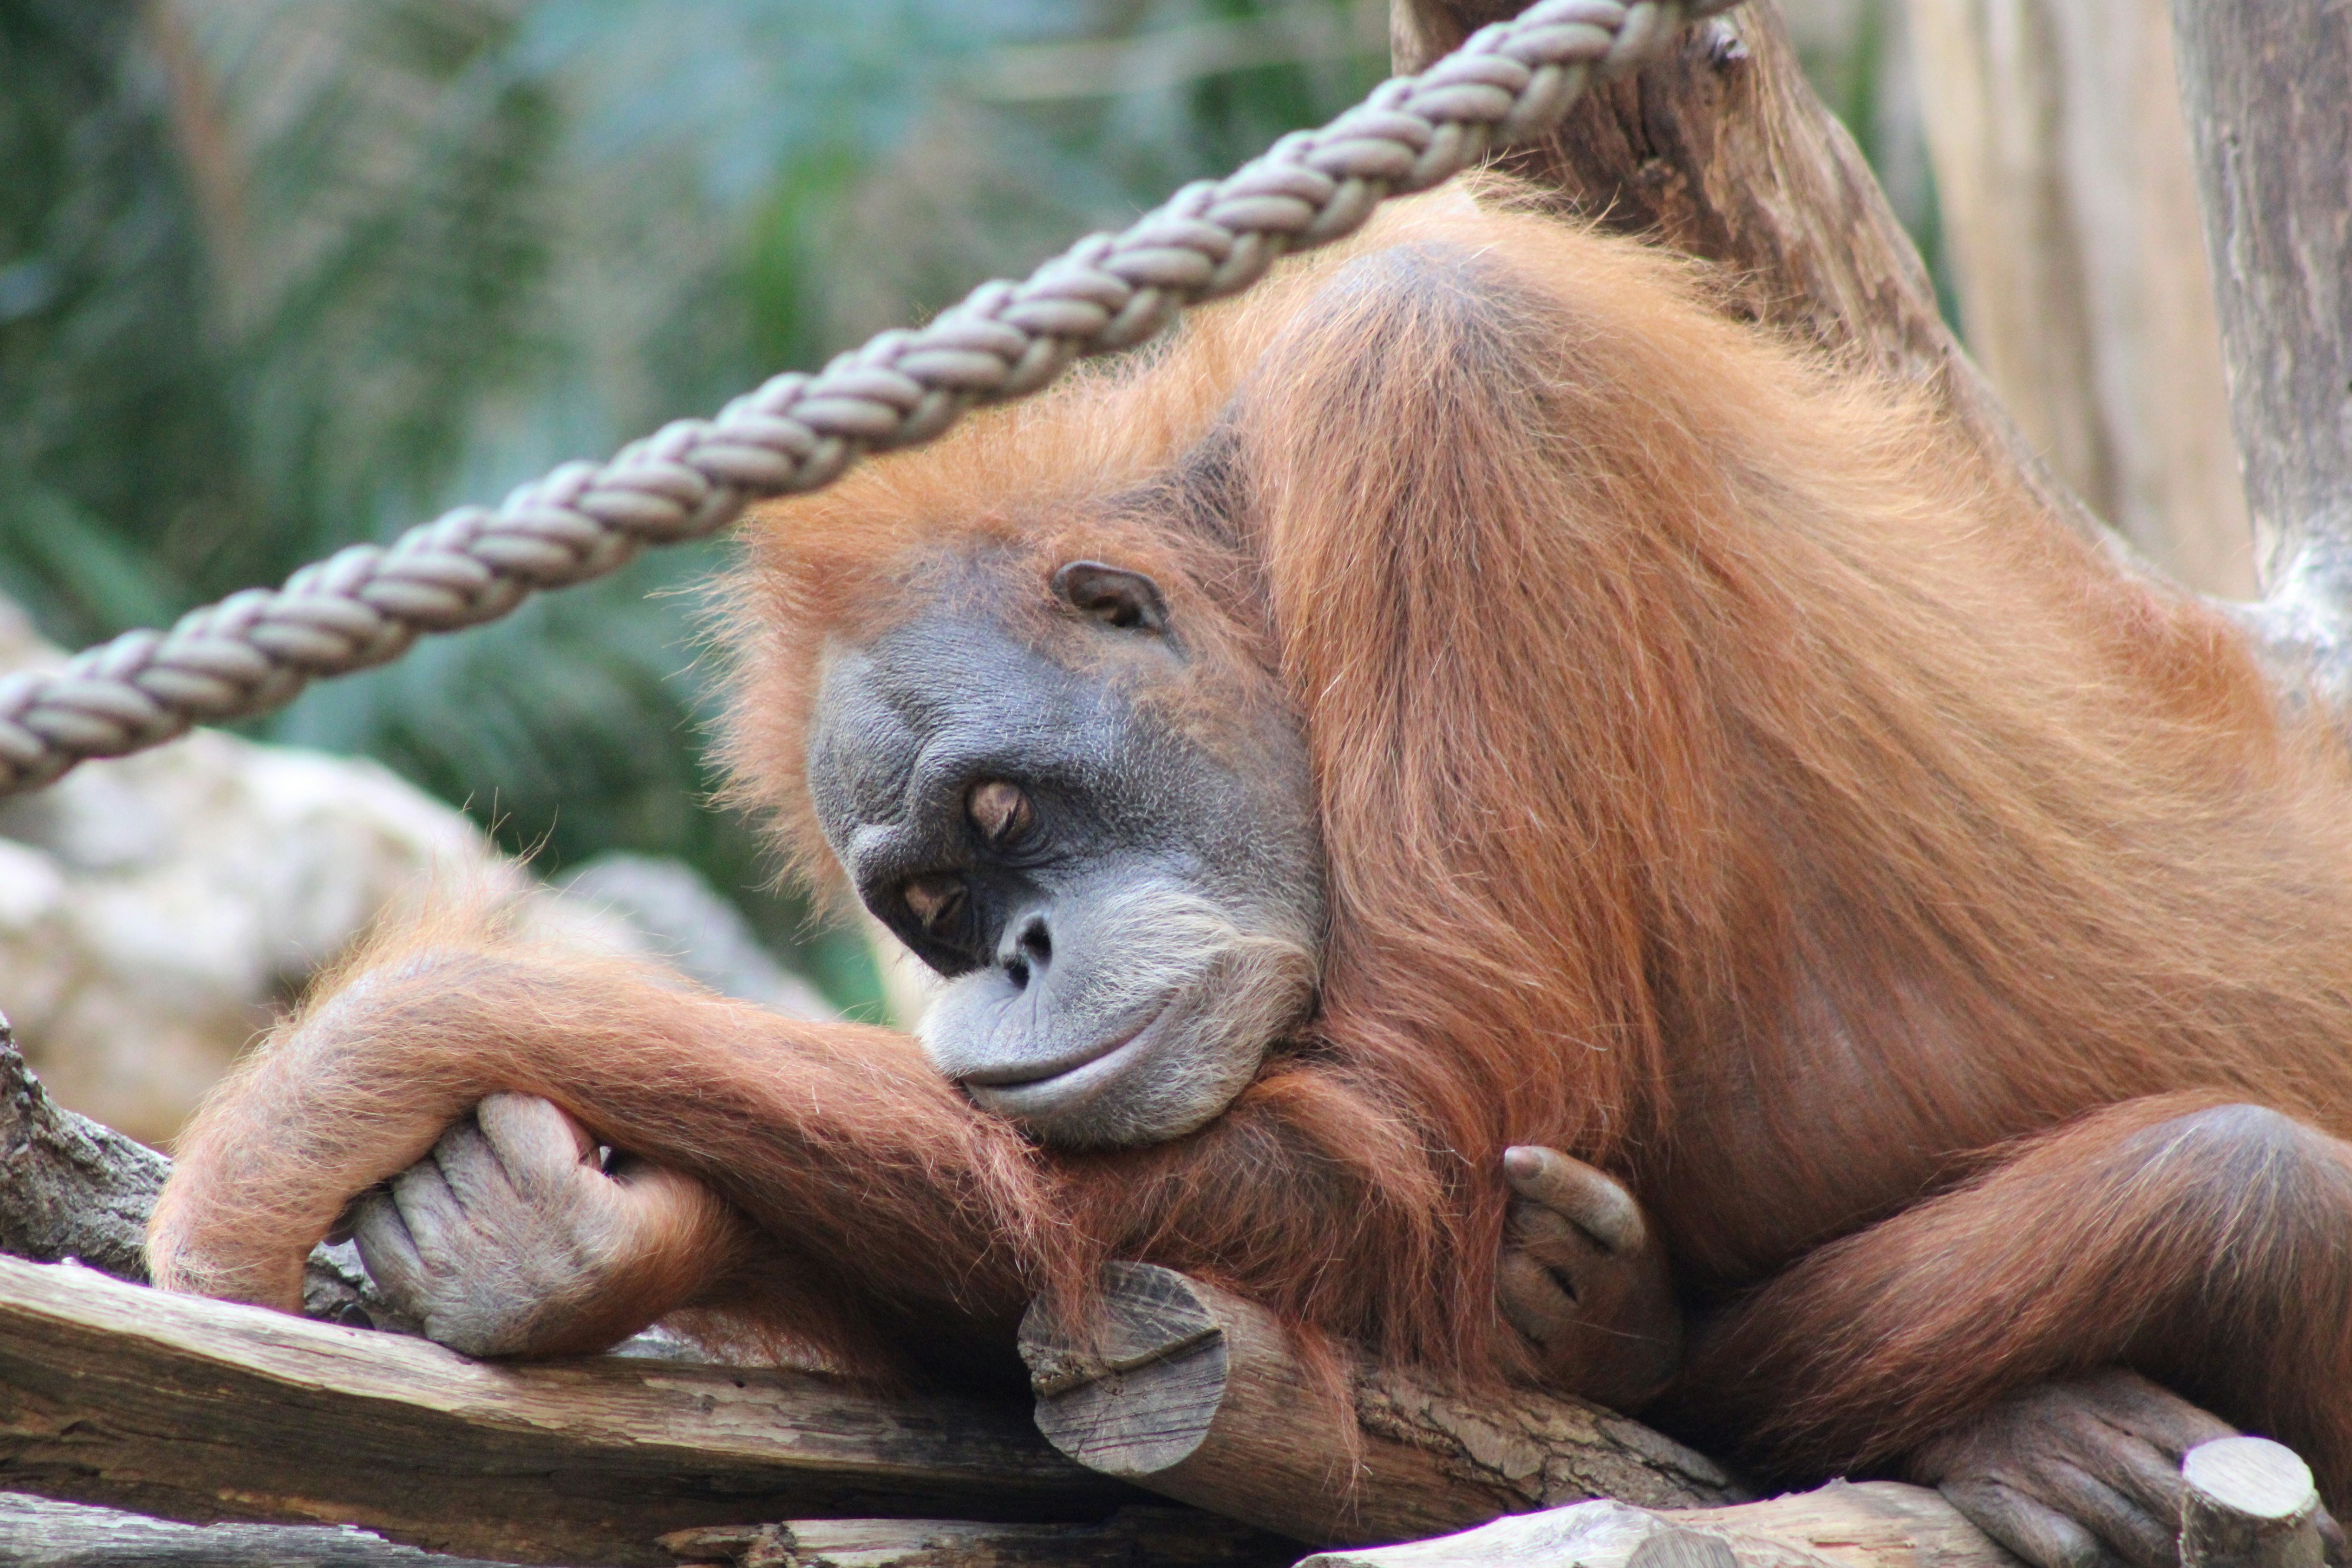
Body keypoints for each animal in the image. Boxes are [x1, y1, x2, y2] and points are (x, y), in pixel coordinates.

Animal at [149, 184, 2352, 1568]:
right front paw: (572, 1237)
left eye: (999, 821)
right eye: (931, 911)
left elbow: (1407, 1150)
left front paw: (376, 1059)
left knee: (2249, 1180)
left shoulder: (1453, 403)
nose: (1006, 963)